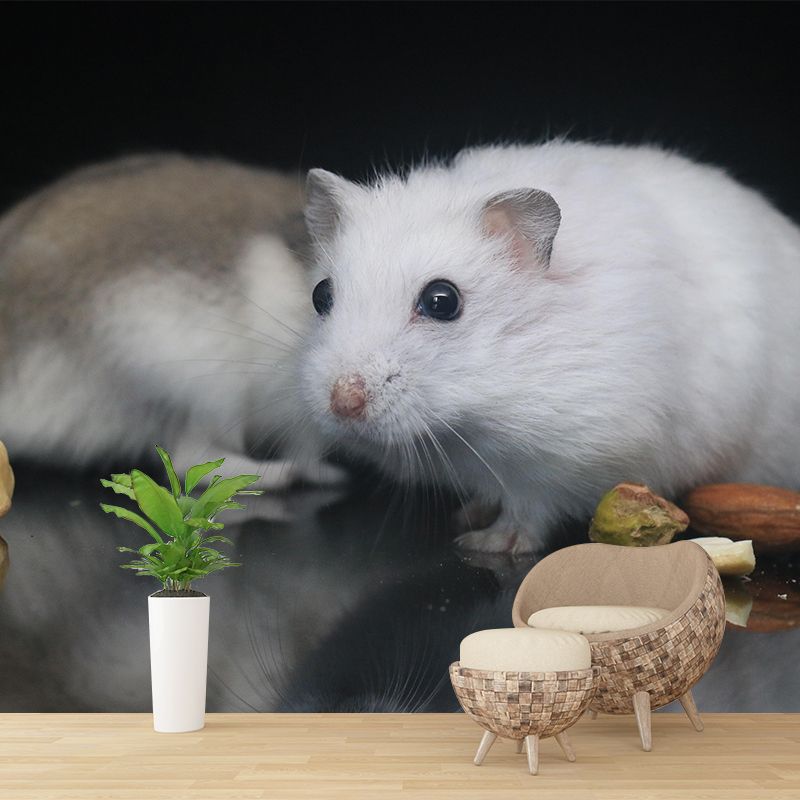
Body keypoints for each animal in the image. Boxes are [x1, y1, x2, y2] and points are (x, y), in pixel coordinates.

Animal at [301, 140, 800, 554]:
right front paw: (471, 515)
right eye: (321, 295)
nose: (343, 404)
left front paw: (488, 544)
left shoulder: (577, 456)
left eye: (442, 301)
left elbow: (529, 509)